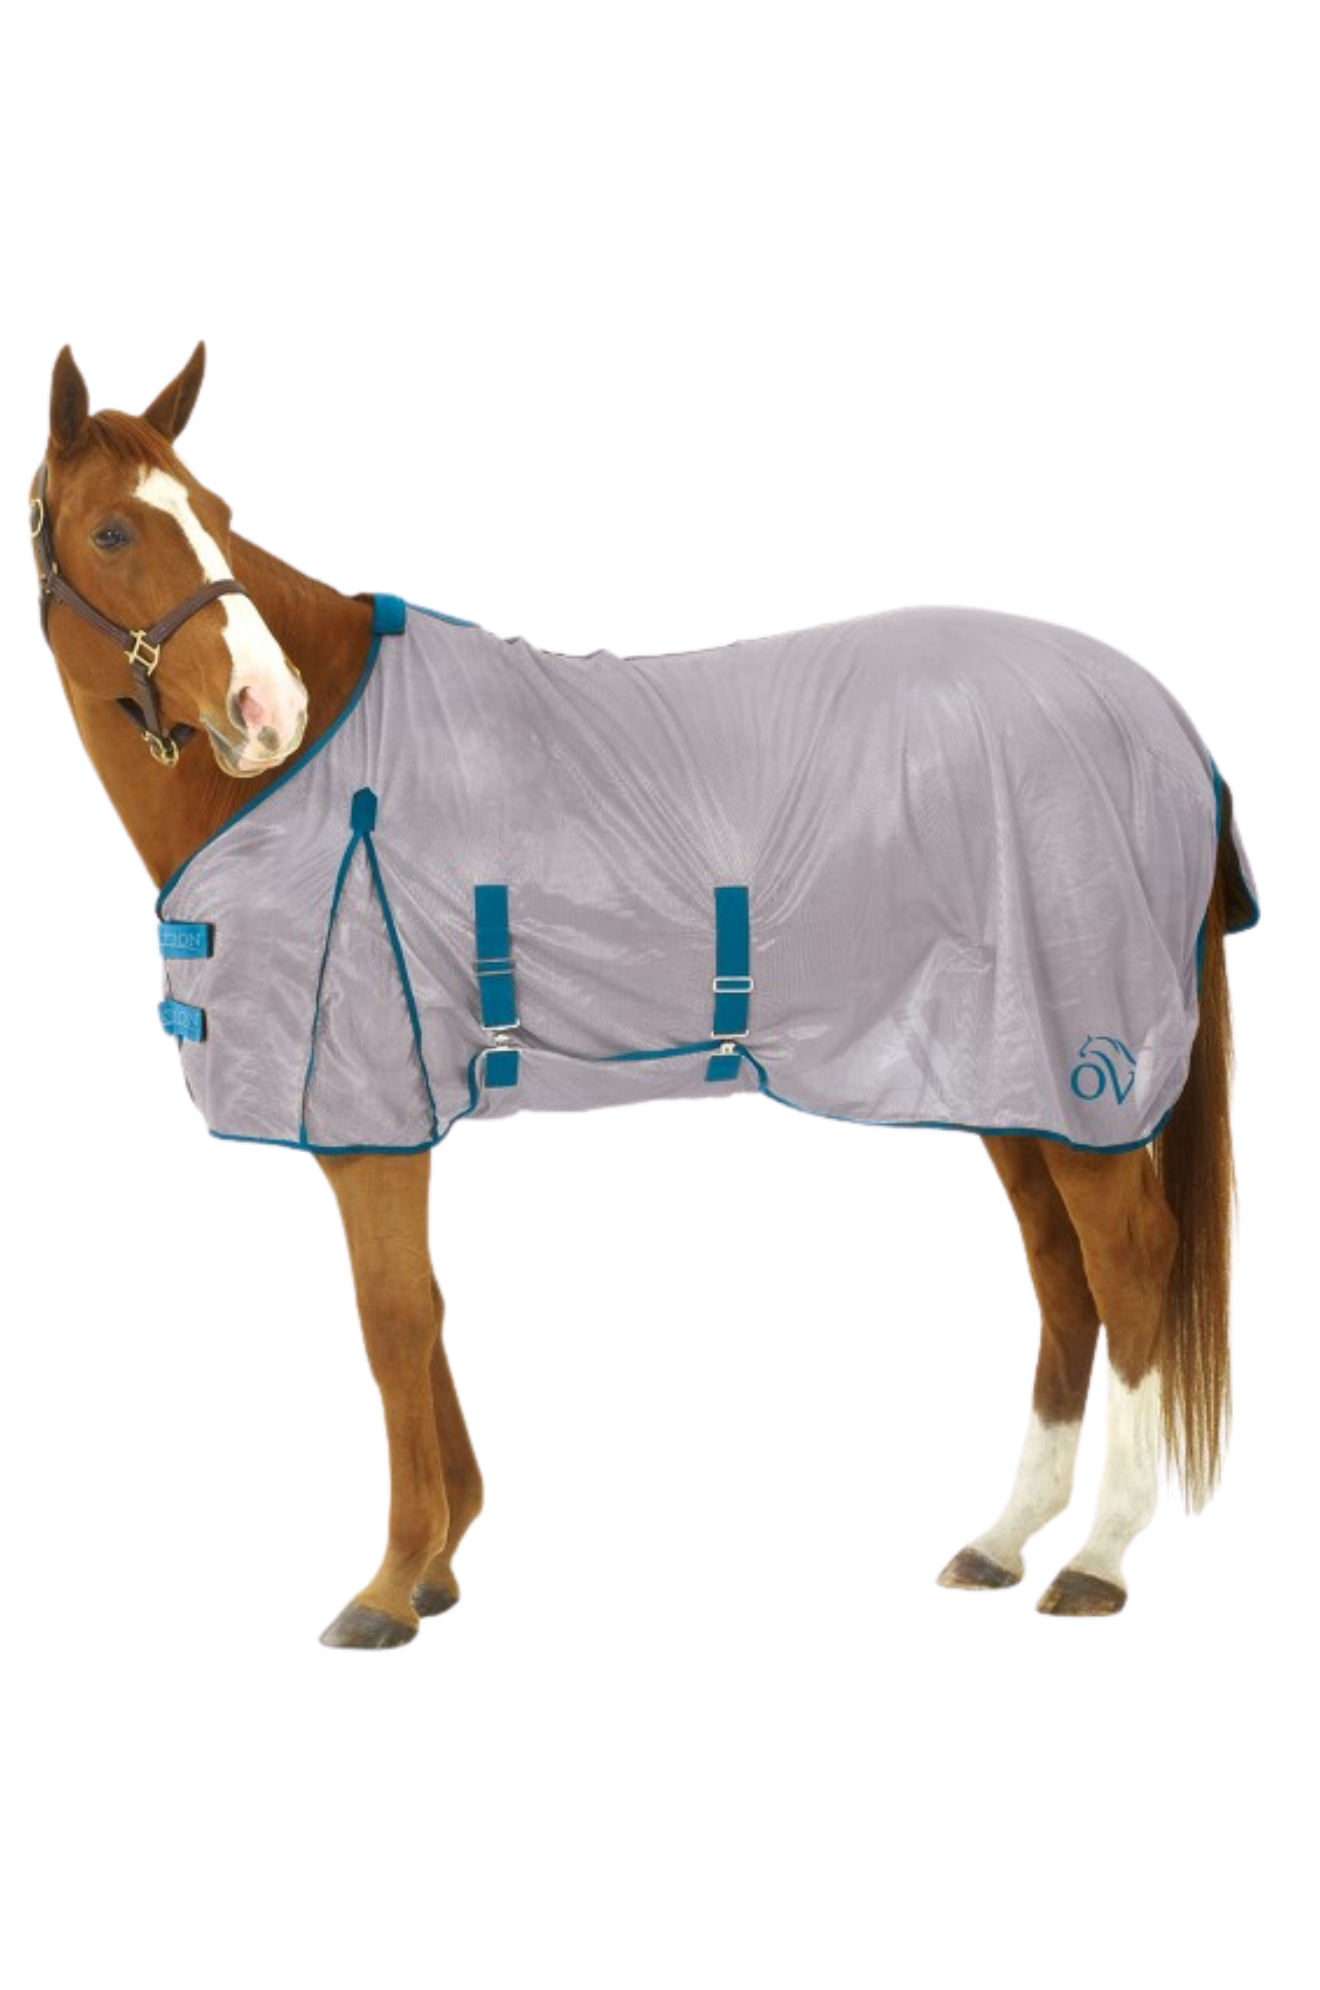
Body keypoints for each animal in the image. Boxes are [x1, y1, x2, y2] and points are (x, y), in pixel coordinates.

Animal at [29, 340, 1254, 1647]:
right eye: (114, 532)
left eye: (218, 516)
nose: (267, 710)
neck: (323, 772)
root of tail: (1169, 723)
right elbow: (431, 1311)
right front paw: (442, 1561)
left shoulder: (373, 1118)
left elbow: (394, 1320)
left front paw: (389, 1583)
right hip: (1007, 1076)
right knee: (1063, 1275)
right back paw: (1004, 1541)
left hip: (1082, 1073)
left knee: (1130, 1264)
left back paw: (1099, 1560)